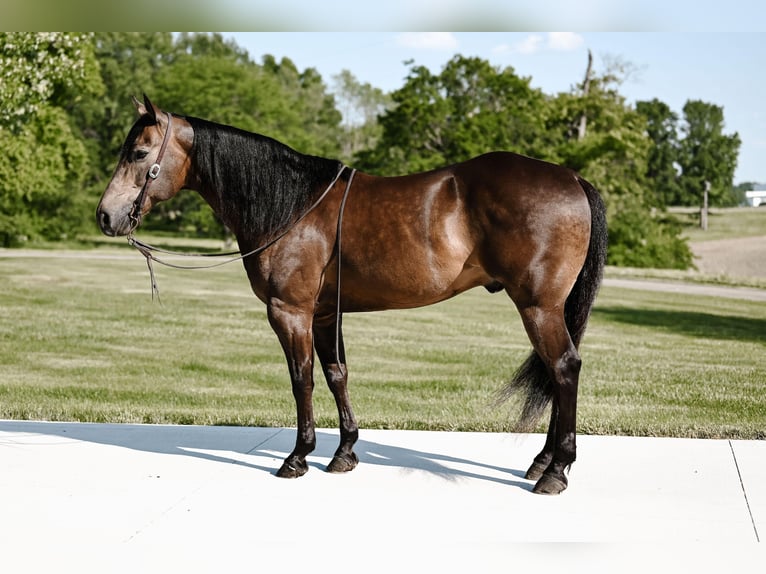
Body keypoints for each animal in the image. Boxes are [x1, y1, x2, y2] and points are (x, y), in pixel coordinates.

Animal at [96, 94, 608, 496]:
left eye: (139, 153)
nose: (105, 216)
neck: (293, 206)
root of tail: (571, 178)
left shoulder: (290, 312)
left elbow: (301, 378)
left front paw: (298, 457)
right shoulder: (325, 314)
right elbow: (336, 373)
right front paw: (343, 452)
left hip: (538, 307)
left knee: (564, 368)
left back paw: (556, 471)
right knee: (557, 372)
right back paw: (542, 462)